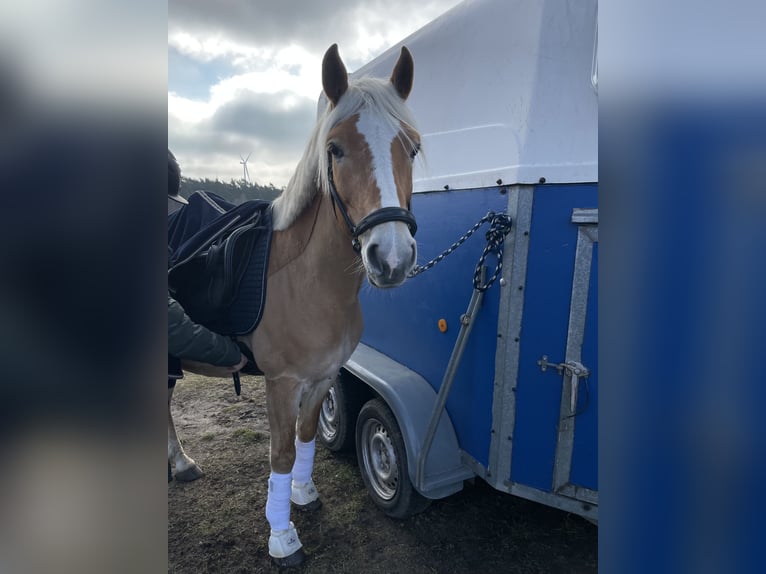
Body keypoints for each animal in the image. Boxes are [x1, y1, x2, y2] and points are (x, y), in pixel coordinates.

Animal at [172, 43, 420, 567]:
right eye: (335, 149)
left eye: (411, 148)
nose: (391, 257)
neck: (309, 284)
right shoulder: (282, 384)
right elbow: (281, 453)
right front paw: (282, 535)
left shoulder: (323, 376)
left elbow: (306, 438)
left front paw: (303, 494)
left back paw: (180, 463)